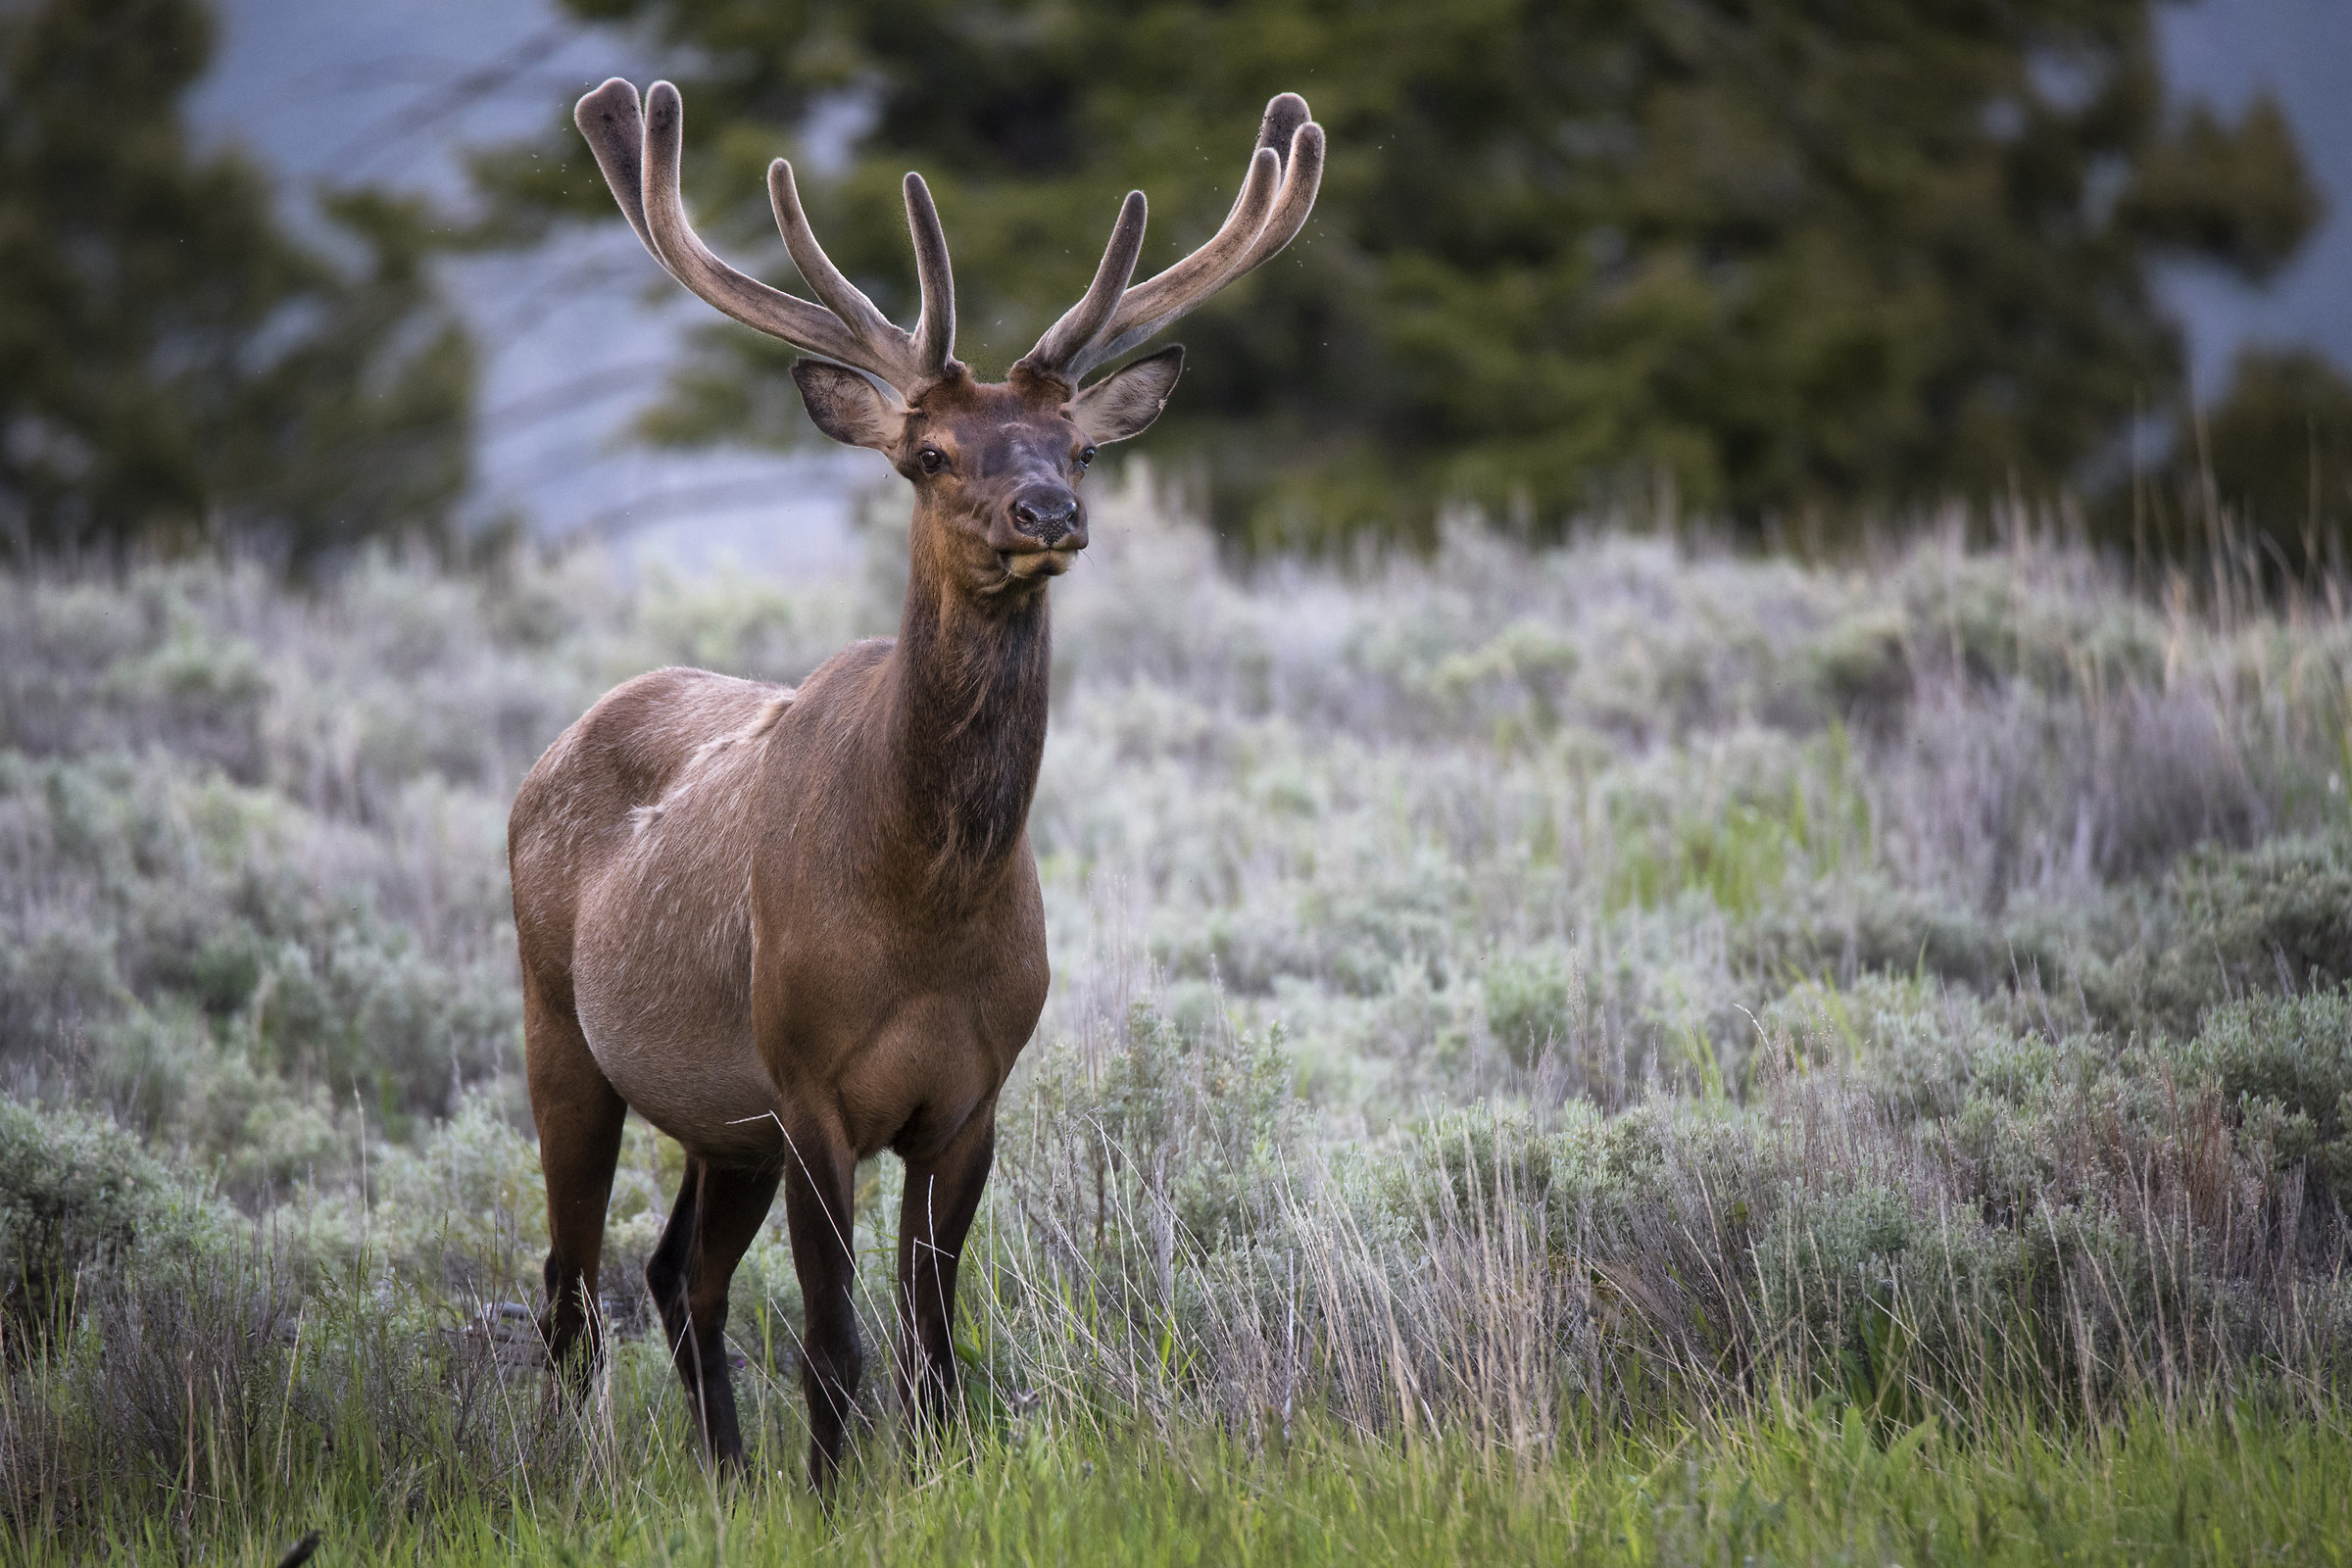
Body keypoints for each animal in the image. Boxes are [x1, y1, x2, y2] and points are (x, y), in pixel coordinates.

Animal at [509, 76, 1323, 1491]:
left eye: (1078, 447)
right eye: (931, 453)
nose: (1049, 512)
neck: (923, 907)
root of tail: (552, 751)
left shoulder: (972, 1092)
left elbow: (935, 1348)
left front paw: (930, 1481)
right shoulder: (808, 1084)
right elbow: (836, 1341)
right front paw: (840, 1497)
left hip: (720, 1122)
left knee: (675, 1278)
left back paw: (726, 1480)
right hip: (564, 1030)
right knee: (568, 1295)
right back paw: (579, 1480)